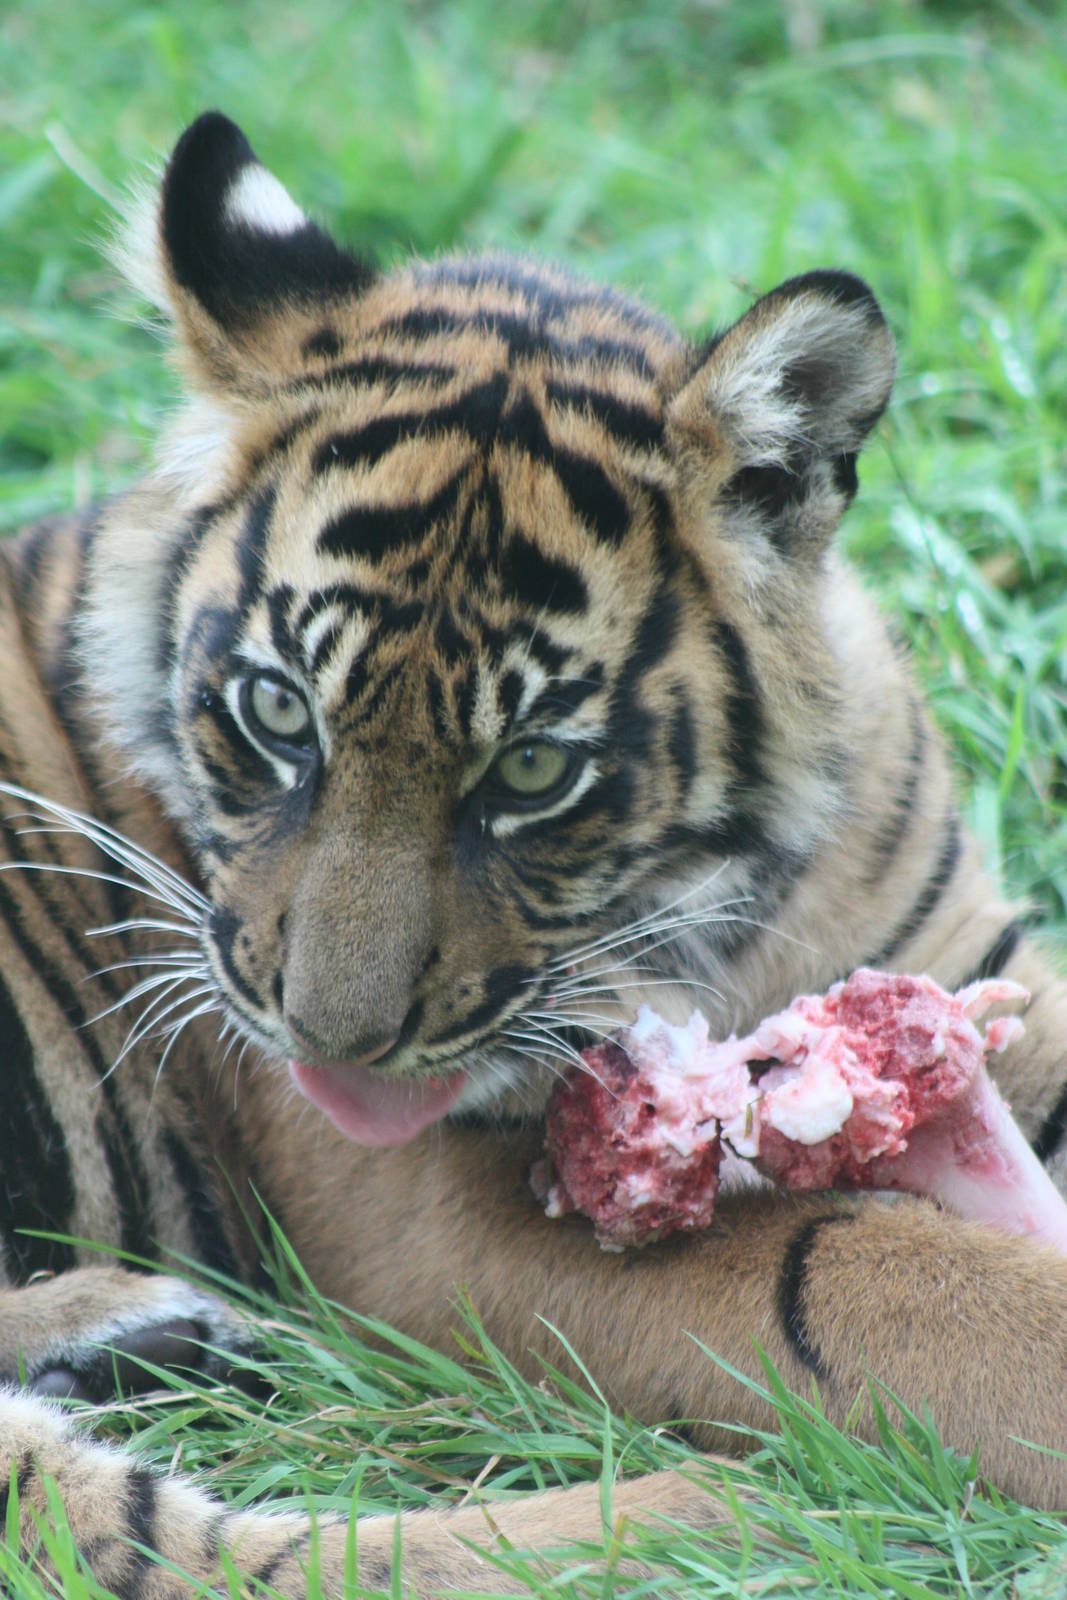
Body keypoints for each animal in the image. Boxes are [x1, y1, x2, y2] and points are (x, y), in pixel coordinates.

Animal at [1, 108, 1065, 1596]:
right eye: (279, 711)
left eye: (530, 770)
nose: (328, 1045)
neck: (733, 902)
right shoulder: (430, 1207)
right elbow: (860, 1273)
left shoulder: (970, 975)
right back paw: (744, 1516)